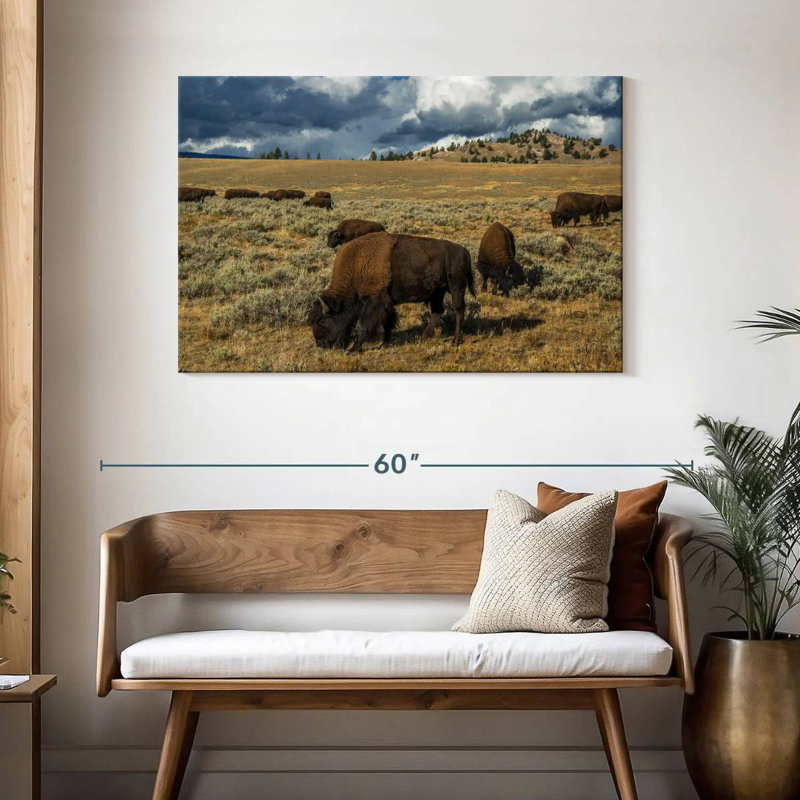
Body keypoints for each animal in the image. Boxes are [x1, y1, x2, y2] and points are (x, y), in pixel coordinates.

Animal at [309, 232, 474, 350]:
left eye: (322, 321)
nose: (320, 344)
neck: (358, 266)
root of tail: (464, 250)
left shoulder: (375, 301)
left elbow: (364, 325)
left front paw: (353, 349)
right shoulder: (386, 303)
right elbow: (387, 322)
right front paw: (384, 344)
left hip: (456, 287)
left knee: (458, 309)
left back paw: (455, 341)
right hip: (437, 292)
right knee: (437, 312)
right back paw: (423, 338)